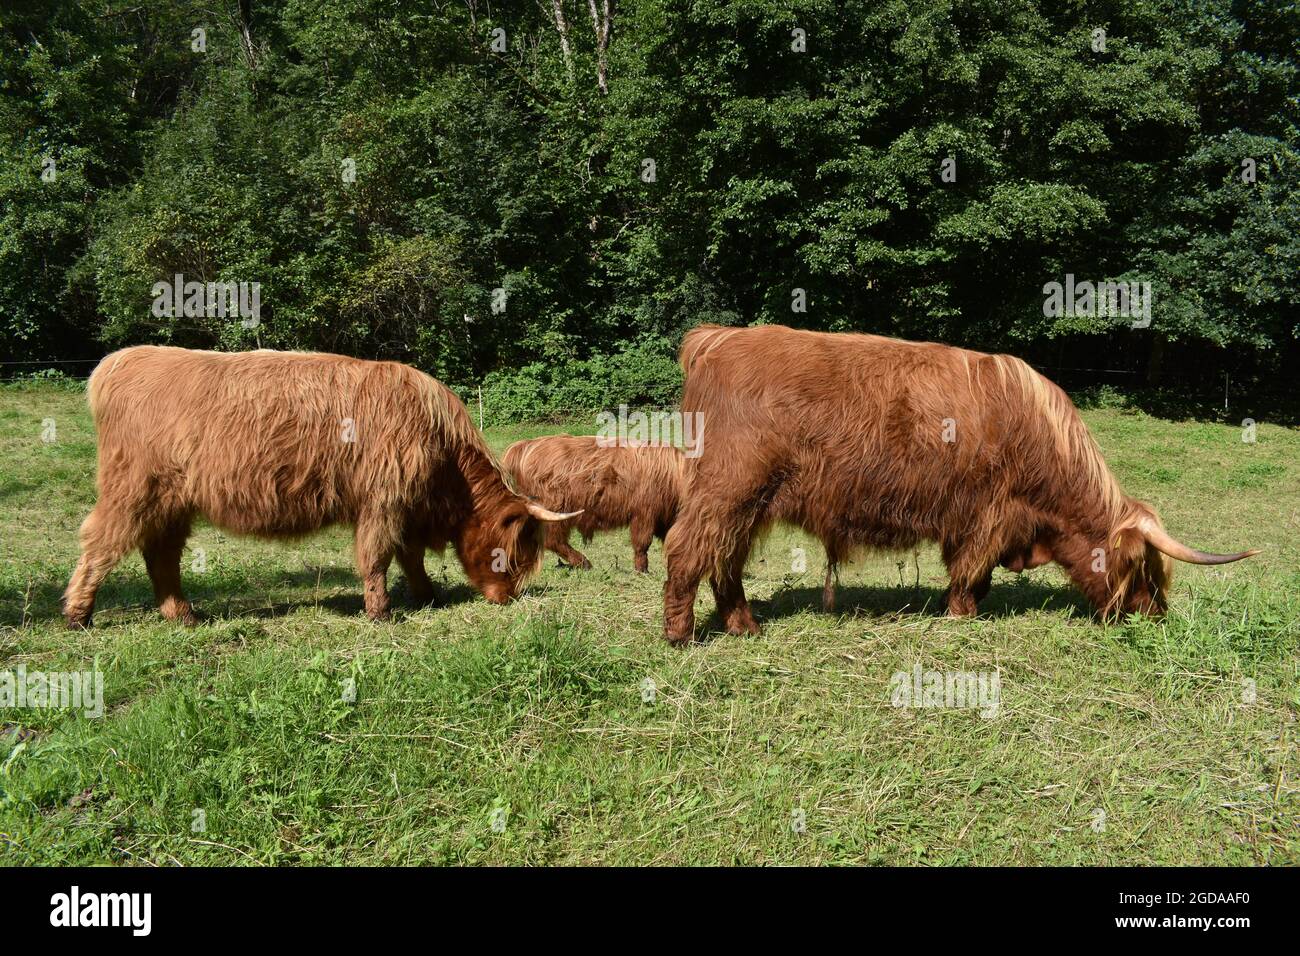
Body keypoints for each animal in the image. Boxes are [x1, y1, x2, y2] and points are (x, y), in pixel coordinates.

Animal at [61, 343, 579, 629]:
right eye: (512, 553)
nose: (507, 597)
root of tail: (120, 360)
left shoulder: (405, 506)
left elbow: (408, 555)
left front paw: (426, 595)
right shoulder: (384, 499)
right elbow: (379, 556)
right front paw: (380, 611)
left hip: (174, 501)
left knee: (161, 554)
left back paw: (183, 615)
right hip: (133, 489)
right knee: (101, 541)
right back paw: (77, 615)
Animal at [665, 325, 1253, 647]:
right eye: (1144, 570)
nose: (1156, 617)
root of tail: (718, 338)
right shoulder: (987, 513)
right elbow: (971, 568)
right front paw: (963, 614)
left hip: (746, 503)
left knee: (724, 557)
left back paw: (744, 625)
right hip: (728, 487)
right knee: (687, 548)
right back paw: (681, 634)